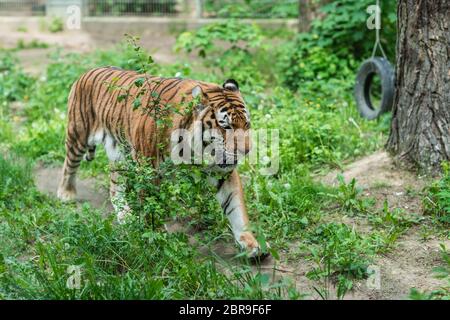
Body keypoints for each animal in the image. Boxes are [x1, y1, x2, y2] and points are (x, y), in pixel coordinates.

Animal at [55, 66, 268, 262]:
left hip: (119, 152)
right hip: (78, 134)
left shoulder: (222, 172)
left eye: (246, 124)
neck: (197, 148)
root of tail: (88, 70)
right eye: (227, 126)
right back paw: (66, 194)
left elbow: (236, 207)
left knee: (115, 186)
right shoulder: (149, 169)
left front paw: (251, 243)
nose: (247, 150)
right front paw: (157, 236)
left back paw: (125, 215)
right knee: (69, 165)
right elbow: (152, 206)